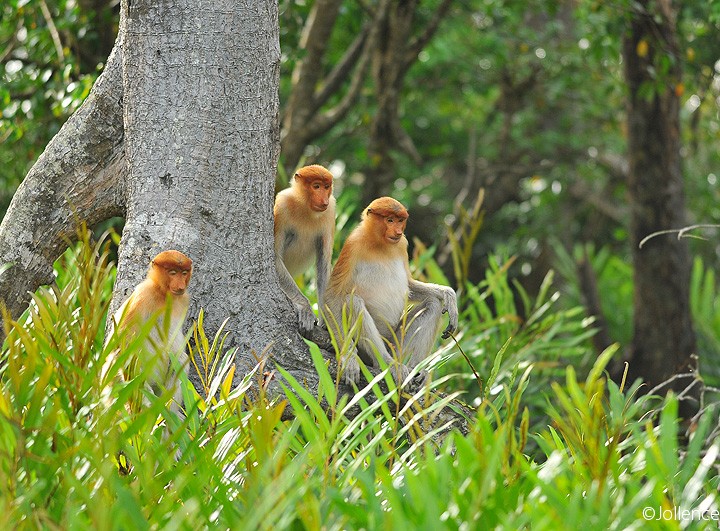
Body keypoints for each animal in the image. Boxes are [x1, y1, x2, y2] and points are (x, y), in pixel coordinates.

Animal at [103, 250, 193, 414]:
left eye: (184, 273)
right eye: (172, 272)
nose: (180, 285)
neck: (163, 294)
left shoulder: (183, 300)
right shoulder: (144, 295)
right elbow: (120, 347)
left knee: (180, 358)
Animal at [274, 164, 335, 333]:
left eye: (326, 187)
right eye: (316, 186)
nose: (324, 200)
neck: (305, 207)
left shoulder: (330, 211)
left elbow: (323, 266)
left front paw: (328, 322)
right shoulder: (281, 206)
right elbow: (275, 258)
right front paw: (305, 308)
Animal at [324, 197, 459, 386]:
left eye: (400, 220)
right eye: (389, 220)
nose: (398, 231)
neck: (380, 243)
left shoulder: (402, 244)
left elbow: (409, 285)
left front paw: (449, 296)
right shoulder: (353, 244)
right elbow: (332, 295)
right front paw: (349, 359)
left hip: (396, 343)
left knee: (432, 304)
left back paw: (416, 370)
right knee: (353, 301)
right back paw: (388, 363)